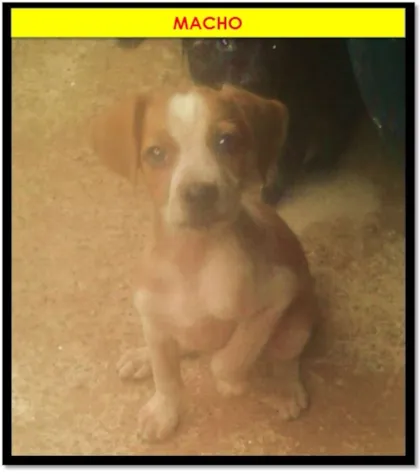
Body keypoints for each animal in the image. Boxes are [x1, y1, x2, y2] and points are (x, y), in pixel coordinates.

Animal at [91, 83, 317, 442]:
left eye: (227, 142)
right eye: (156, 153)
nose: (199, 193)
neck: (192, 259)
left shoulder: (277, 294)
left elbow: (228, 358)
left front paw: (231, 383)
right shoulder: (151, 313)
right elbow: (166, 375)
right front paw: (164, 411)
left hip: (297, 324)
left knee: (286, 357)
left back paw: (285, 389)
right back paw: (142, 357)